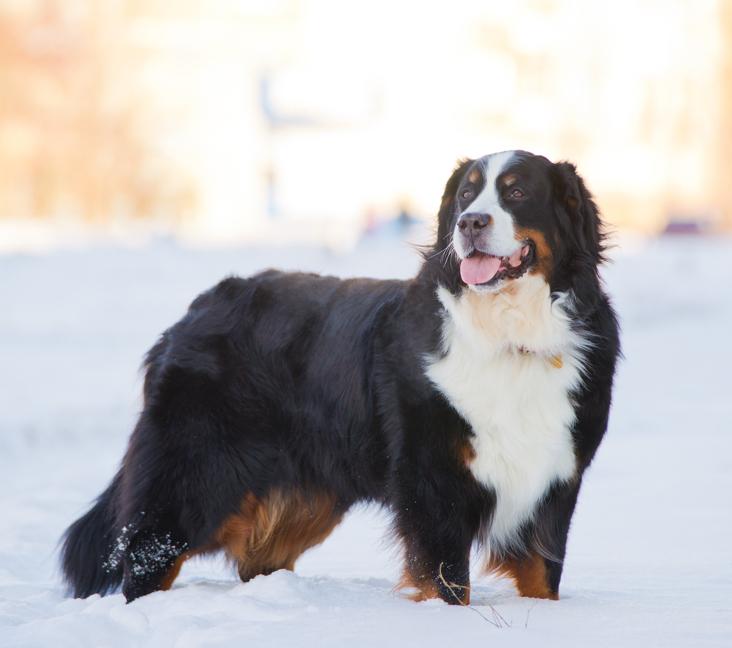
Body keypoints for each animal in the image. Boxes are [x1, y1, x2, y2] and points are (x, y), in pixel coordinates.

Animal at [63, 151, 620, 604]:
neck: (511, 337)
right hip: (193, 478)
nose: (470, 222)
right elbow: (448, 584)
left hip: (302, 498)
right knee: (147, 553)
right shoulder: (433, 481)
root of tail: (194, 311)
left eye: (518, 192)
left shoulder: (554, 482)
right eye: (466, 193)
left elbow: (542, 578)